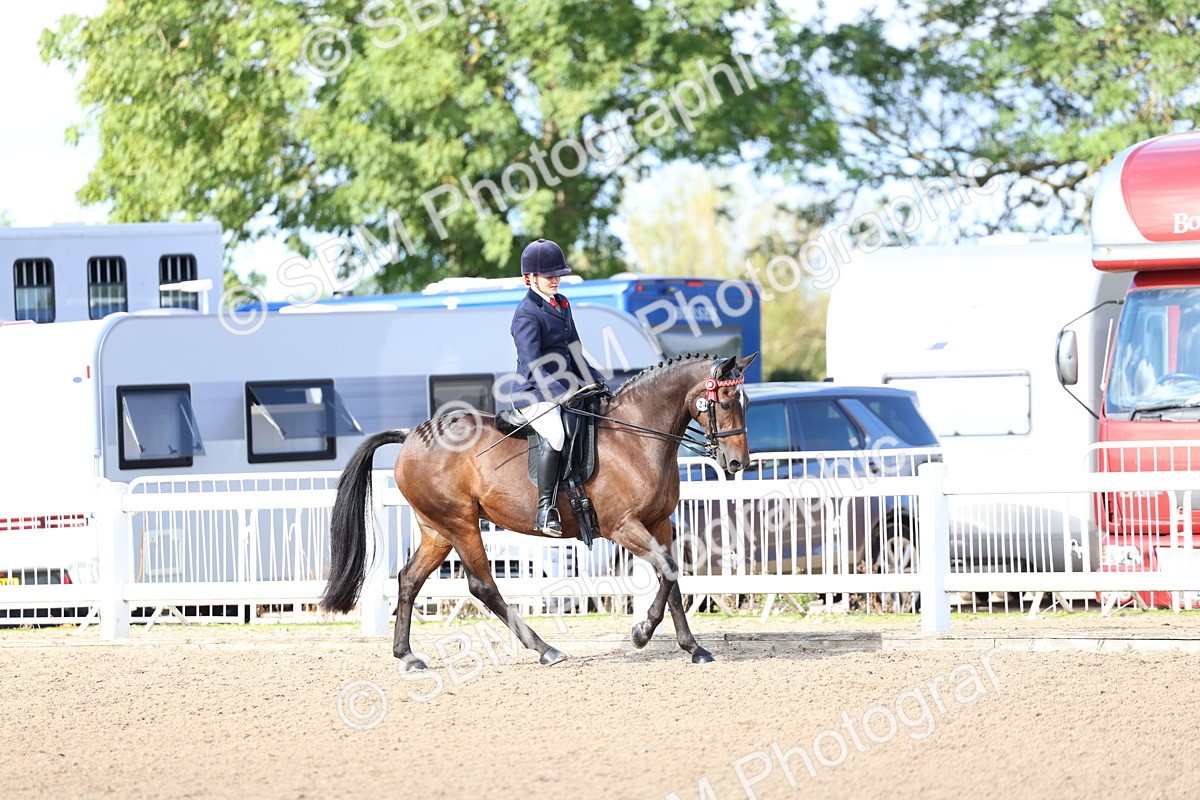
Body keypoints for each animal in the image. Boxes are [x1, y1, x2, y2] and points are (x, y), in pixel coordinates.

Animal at [319, 352, 757, 667]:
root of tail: (412, 434)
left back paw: (407, 656)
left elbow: (673, 579)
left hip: (436, 530)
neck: (638, 436)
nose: (738, 463)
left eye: (746, 400)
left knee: (409, 580)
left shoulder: (659, 523)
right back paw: (545, 649)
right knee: (482, 586)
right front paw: (642, 632)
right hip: (461, 524)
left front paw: (694, 648)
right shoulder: (623, 526)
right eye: (723, 401)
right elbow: (667, 570)